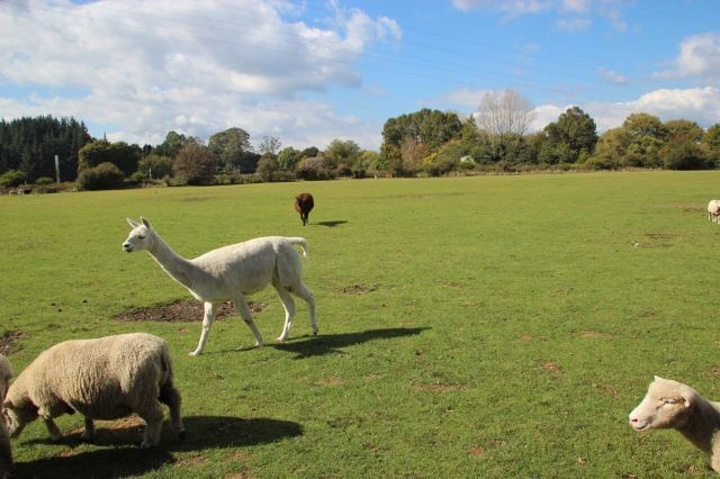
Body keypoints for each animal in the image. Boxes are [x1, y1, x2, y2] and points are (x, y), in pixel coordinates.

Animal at [3, 334, 183, 450]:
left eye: (6, 415)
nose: (8, 435)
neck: (27, 390)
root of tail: (159, 349)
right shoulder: (82, 397)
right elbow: (87, 415)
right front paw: (88, 433)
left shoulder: (50, 402)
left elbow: (44, 416)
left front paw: (55, 435)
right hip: (163, 383)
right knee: (174, 400)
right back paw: (178, 427)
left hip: (141, 393)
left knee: (155, 415)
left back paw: (150, 442)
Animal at [124, 218, 318, 356]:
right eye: (129, 234)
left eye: (141, 236)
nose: (125, 246)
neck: (197, 271)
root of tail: (288, 240)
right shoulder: (212, 299)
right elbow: (206, 325)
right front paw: (197, 351)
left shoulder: (234, 291)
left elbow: (247, 318)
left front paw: (259, 342)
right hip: (277, 279)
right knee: (290, 306)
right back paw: (283, 336)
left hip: (289, 275)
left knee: (310, 296)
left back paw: (315, 329)